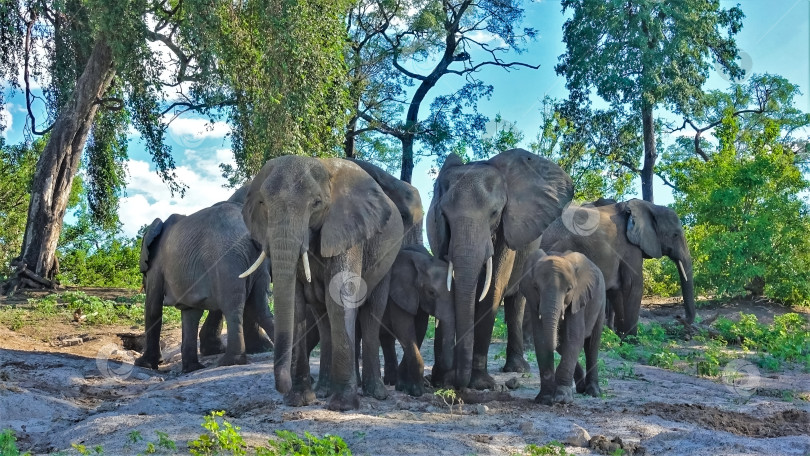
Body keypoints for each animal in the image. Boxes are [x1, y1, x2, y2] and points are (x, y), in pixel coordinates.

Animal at [133, 187, 272, 372]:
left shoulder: (157, 265)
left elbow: (153, 307)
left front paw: (144, 364)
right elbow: (190, 312)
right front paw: (192, 369)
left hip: (226, 257)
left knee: (233, 305)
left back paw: (230, 362)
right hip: (255, 260)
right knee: (259, 305)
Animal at [240, 156, 404, 410]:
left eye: (316, 203)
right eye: (262, 203)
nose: (282, 388)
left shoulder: (348, 229)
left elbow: (340, 299)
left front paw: (343, 406)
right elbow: (297, 307)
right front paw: (299, 400)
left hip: (387, 259)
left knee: (371, 313)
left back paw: (375, 393)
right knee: (323, 318)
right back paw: (325, 390)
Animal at [426, 149, 572, 388]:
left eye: (494, 213)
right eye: (444, 214)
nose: (457, 383)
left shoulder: (506, 231)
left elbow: (493, 290)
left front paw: (481, 384)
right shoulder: (439, 234)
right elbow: (446, 289)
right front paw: (442, 381)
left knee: (516, 302)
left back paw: (517, 368)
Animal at [520, 249, 604, 406]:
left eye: (569, 289)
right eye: (536, 287)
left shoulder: (578, 298)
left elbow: (575, 336)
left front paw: (562, 399)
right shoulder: (533, 301)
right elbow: (541, 338)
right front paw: (545, 399)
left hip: (601, 301)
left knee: (592, 344)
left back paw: (593, 392)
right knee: (565, 345)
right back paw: (581, 387)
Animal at [536, 198, 696, 336]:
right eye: (675, 235)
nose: (678, 318)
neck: (649, 206)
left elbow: (617, 290)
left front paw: (621, 336)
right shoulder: (629, 246)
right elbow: (633, 286)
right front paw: (633, 339)